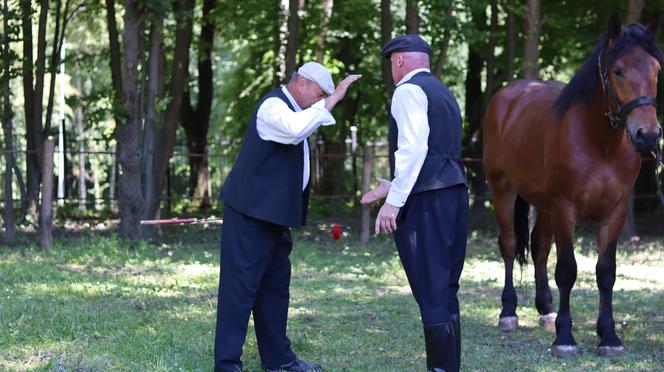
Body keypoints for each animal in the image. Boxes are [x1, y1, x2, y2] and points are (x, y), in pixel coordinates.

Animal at [482, 14, 664, 358]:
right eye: (618, 70)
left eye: (656, 69)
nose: (648, 135)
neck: (599, 143)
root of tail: (507, 95)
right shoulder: (566, 208)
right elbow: (567, 270)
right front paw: (565, 337)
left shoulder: (614, 211)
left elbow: (606, 272)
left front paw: (608, 336)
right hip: (504, 191)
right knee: (510, 245)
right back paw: (508, 312)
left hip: (544, 205)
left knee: (539, 249)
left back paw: (546, 310)